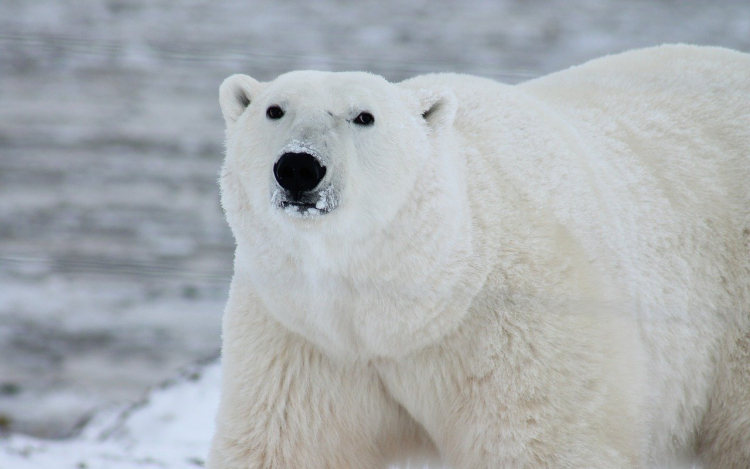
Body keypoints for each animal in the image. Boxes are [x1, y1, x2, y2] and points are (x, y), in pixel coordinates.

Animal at [209, 44, 750, 468]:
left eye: (363, 116)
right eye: (274, 110)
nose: (299, 167)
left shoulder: (520, 324)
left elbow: (541, 443)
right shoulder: (303, 337)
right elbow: (287, 444)